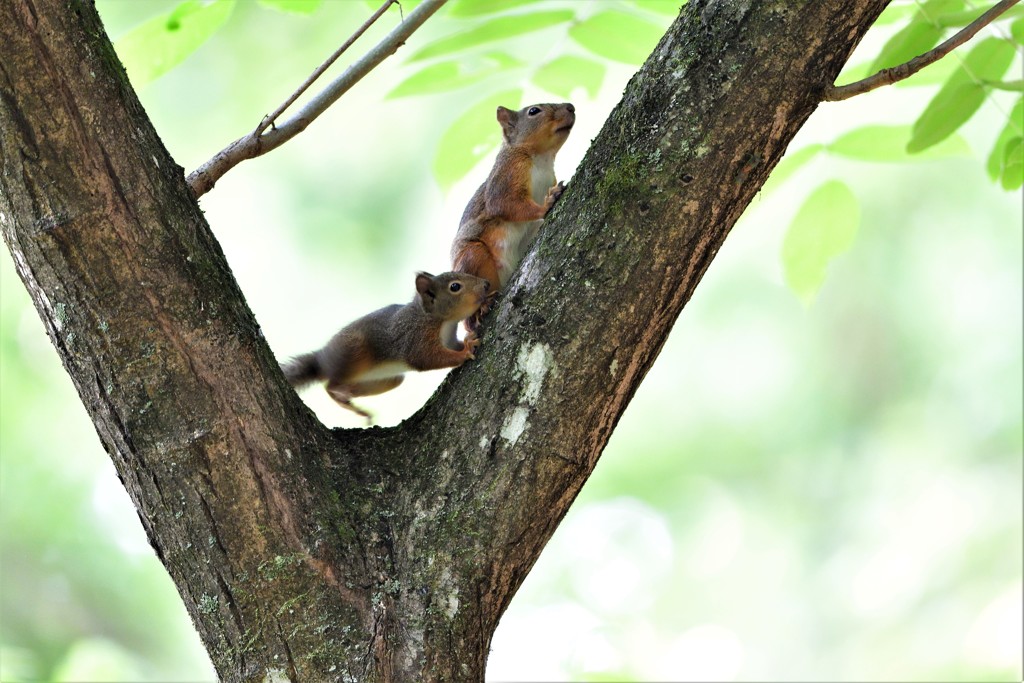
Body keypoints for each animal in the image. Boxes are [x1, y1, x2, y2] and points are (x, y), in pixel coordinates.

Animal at [280, 270, 487, 421]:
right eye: (455, 287)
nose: (486, 284)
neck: (440, 320)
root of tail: (321, 360)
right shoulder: (415, 337)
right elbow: (425, 358)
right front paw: (466, 351)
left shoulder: (449, 339)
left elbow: (452, 346)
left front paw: (469, 337)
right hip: (355, 351)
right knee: (330, 385)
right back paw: (341, 395)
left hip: (385, 380)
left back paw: (350, 397)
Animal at [450, 100, 577, 327]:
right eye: (534, 111)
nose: (570, 107)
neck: (542, 159)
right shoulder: (507, 175)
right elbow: (505, 205)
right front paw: (547, 204)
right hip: (473, 258)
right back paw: (482, 309)